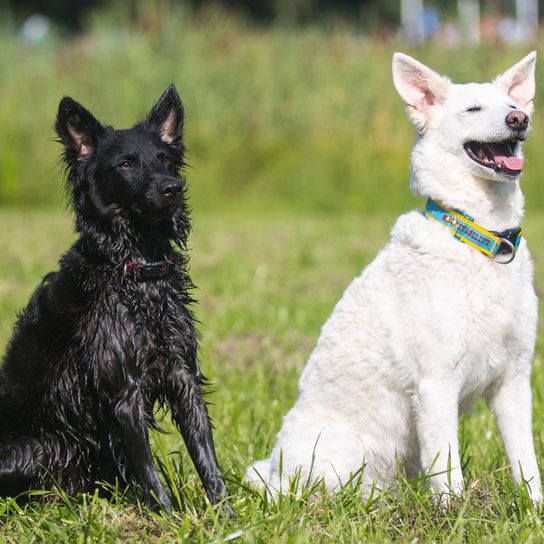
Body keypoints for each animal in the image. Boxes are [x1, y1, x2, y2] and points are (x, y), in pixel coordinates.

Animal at [0, 85, 232, 516]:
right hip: (32, 450)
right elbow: (149, 474)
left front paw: (226, 517)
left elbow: (208, 460)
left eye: (165, 159)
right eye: (126, 164)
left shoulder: (183, 376)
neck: (138, 273)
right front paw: (169, 521)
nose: (173, 188)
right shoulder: (123, 390)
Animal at [246, 53, 540, 504]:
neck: (481, 237)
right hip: (340, 456)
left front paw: (533, 507)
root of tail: (276, 471)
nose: (519, 118)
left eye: (511, 103)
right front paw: (453, 512)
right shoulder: (436, 384)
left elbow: (526, 462)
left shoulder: (514, 381)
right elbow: (447, 465)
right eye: (473, 109)